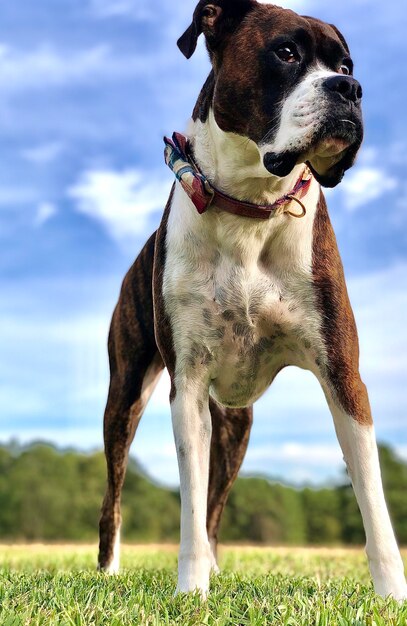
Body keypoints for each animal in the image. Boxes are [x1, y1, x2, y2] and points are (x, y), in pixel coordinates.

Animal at [97, 0, 406, 600]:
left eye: (346, 65)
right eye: (285, 52)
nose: (350, 88)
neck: (251, 203)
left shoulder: (343, 377)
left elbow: (373, 500)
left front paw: (391, 596)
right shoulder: (188, 387)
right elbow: (189, 509)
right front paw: (191, 594)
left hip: (236, 427)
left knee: (217, 506)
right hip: (125, 398)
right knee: (116, 500)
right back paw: (109, 571)